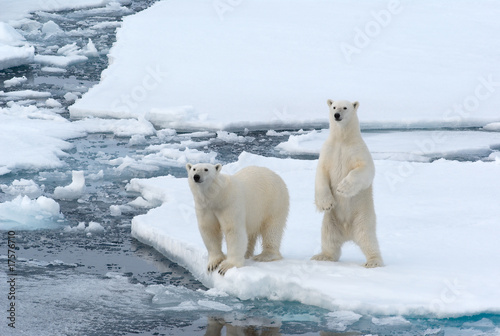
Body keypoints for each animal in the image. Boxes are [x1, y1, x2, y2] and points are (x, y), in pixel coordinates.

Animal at [314, 99, 384, 268]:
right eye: (334, 106)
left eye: (345, 107)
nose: (336, 115)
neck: (342, 140)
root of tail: (347, 233)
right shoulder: (328, 151)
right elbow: (321, 173)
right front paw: (326, 203)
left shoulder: (358, 150)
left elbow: (365, 169)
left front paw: (342, 188)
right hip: (330, 221)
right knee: (329, 238)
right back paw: (323, 256)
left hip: (363, 217)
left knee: (368, 238)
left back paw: (373, 261)